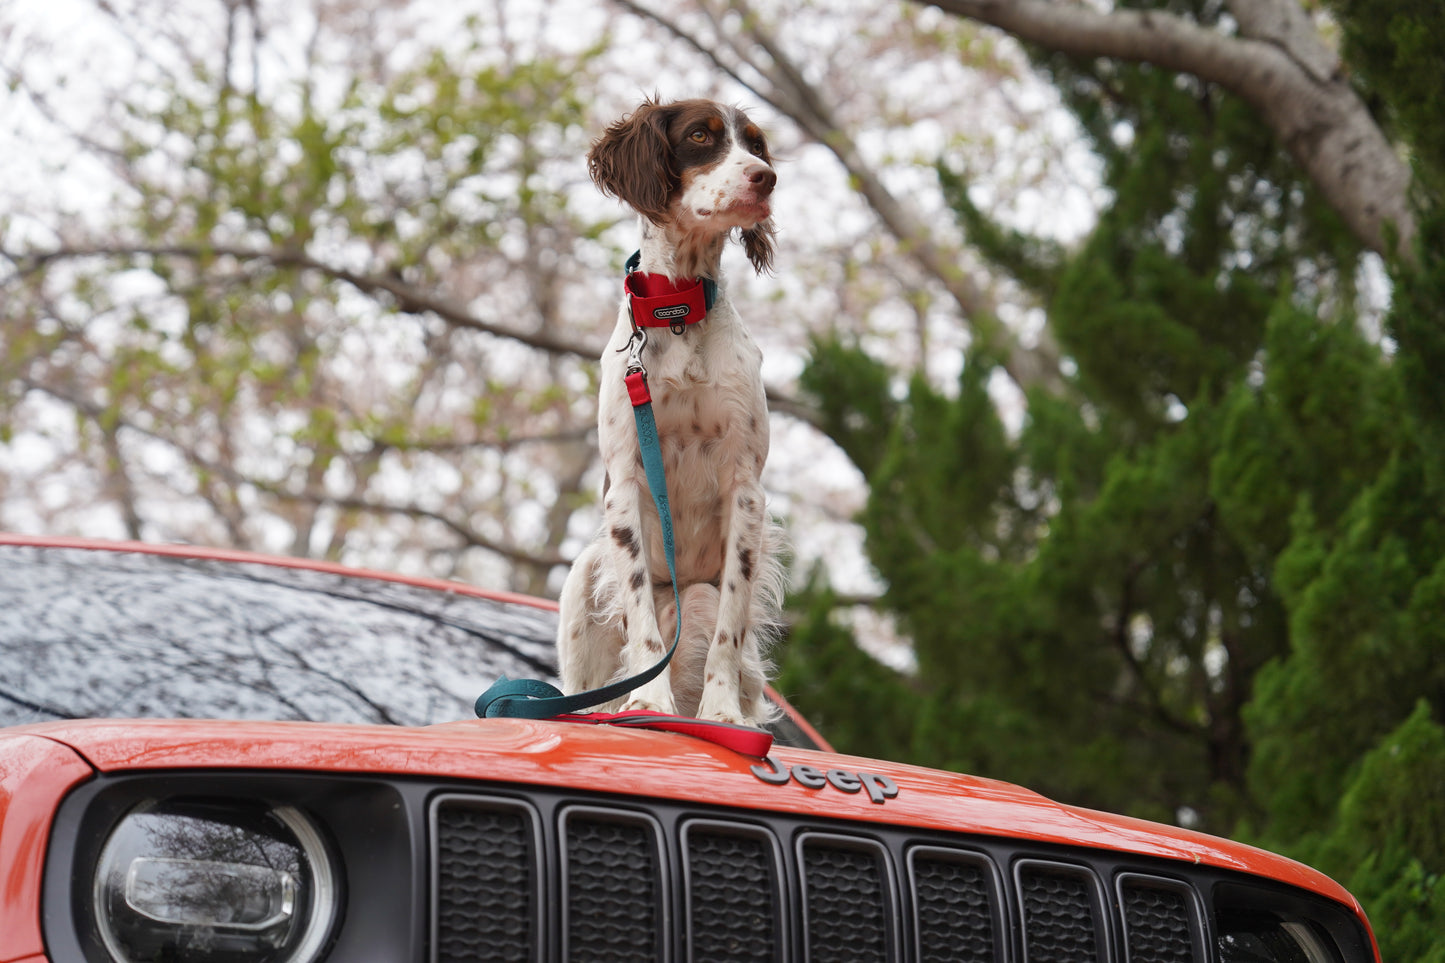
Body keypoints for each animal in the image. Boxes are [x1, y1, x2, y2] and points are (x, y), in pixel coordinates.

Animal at [551, 99, 786, 728]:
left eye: (755, 144)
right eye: (701, 135)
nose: (766, 177)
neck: (678, 311)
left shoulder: (745, 489)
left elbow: (731, 623)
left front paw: (722, 712)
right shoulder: (627, 480)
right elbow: (639, 615)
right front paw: (648, 701)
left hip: (696, 596)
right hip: (585, 575)